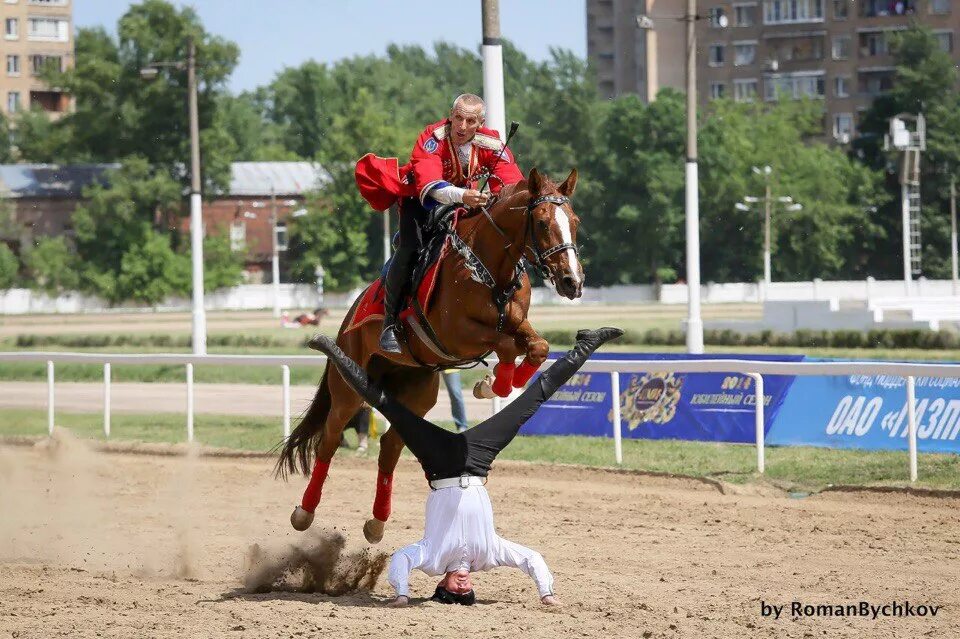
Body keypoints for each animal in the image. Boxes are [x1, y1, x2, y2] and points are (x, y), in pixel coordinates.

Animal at [274, 168, 580, 544]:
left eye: (575, 222)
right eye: (541, 222)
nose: (572, 281)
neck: (487, 269)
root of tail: (347, 319)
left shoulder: (516, 324)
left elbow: (538, 347)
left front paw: (496, 384)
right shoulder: (456, 335)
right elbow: (506, 345)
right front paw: (492, 384)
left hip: (417, 391)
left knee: (390, 446)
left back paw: (376, 522)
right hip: (348, 388)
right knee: (329, 439)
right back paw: (304, 512)